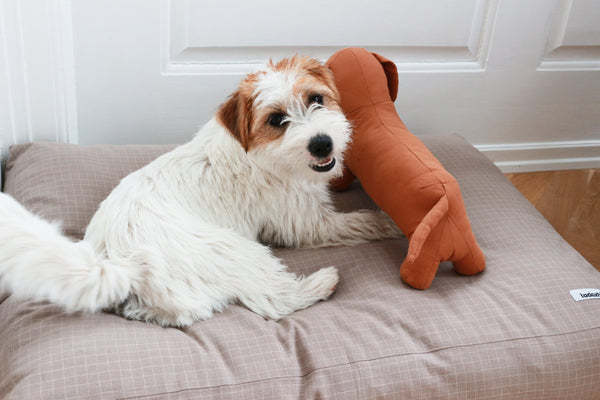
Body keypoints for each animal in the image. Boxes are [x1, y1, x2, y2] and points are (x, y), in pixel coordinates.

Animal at [1, 56, 404, 326]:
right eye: (277, 120)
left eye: (316, 99)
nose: (322, 144)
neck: (258, 152)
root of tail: (121, 262)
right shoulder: (306, 224)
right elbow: (356, 222)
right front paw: (391, 221)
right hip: (236, 249)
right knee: (274, 300)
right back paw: (322, 282)